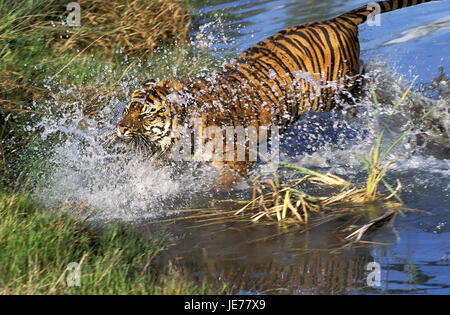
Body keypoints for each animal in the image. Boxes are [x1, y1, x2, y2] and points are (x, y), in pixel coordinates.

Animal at [116, 0, 436, 189]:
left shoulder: (236, 159)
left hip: (338, 93)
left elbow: (221, 185)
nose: (119, 128)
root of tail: (336, 20)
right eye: (128, 109)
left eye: (146, 115)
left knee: (370, 89)